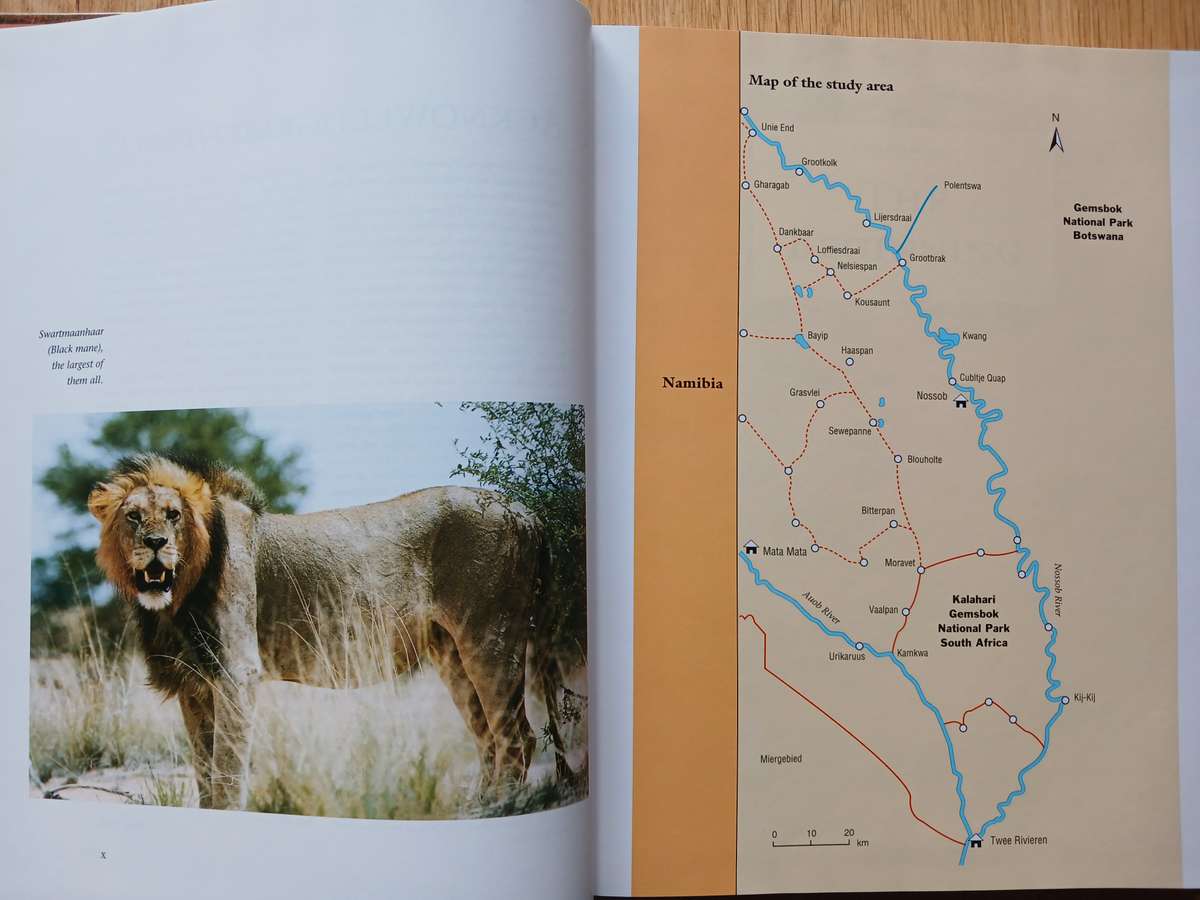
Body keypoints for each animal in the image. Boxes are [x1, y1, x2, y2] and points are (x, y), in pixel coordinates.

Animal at [87, 453, 575, 811]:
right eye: (133, 518)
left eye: (173, 515)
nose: (155, 544)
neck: (175, 600)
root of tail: (527, 513)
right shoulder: (196, 685)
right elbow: (204, 772)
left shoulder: (238, 673)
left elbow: (226, 773)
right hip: (453, 654)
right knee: (488, 737)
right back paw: (478, 806)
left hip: (490, 637)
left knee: (516, 736)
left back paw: (501, 808)